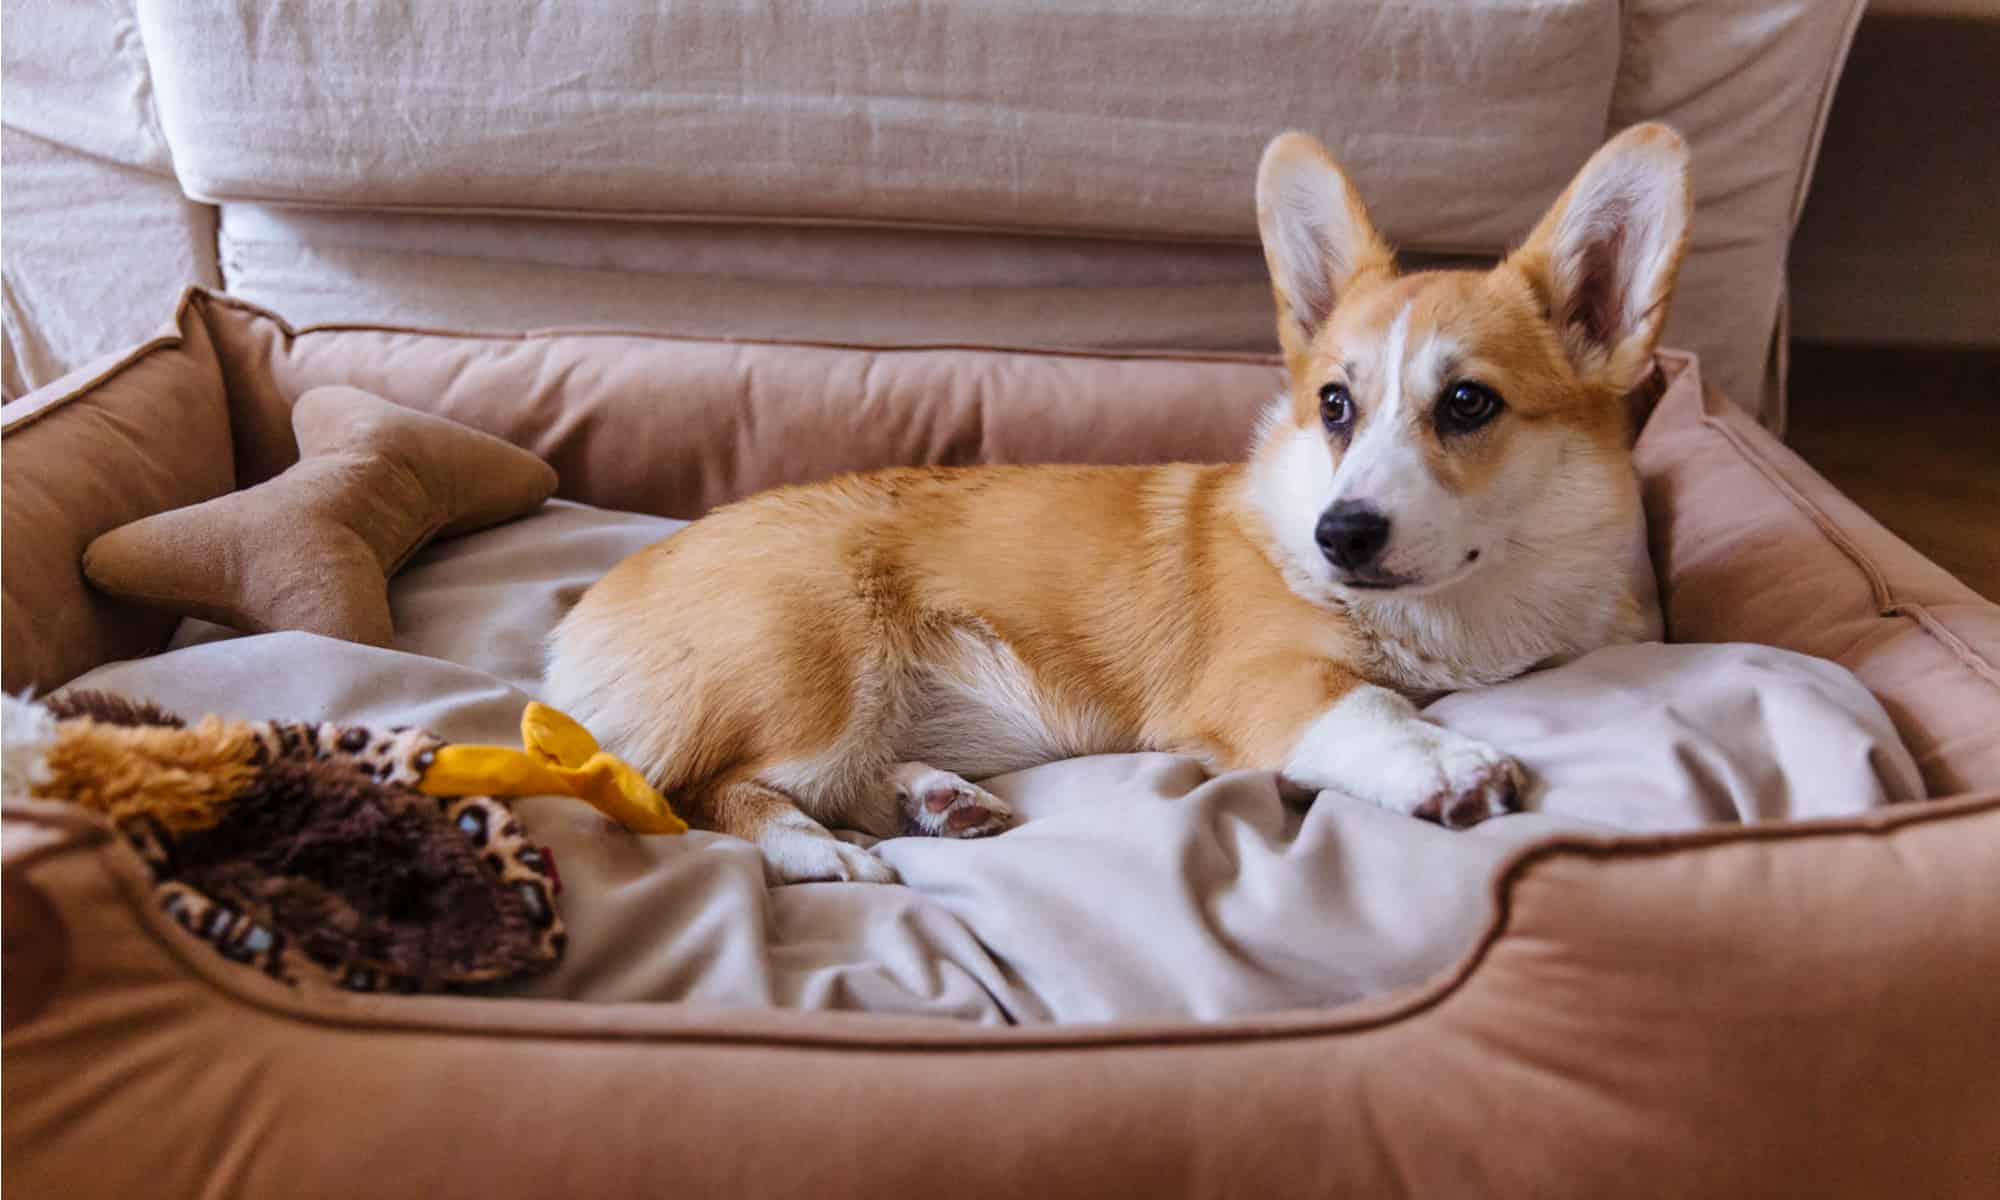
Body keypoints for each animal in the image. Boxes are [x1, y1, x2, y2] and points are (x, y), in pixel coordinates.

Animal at [548, 126, 1688, 884]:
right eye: (1334, 404)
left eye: (1467, 403)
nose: (1340, 536)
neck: (1464, 616)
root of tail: (585, 615)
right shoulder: (1262, 682)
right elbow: (1368, 706)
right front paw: (1444, 764)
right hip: (814, 682)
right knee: (704, 788)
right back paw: (820, 852)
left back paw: (935, 800)